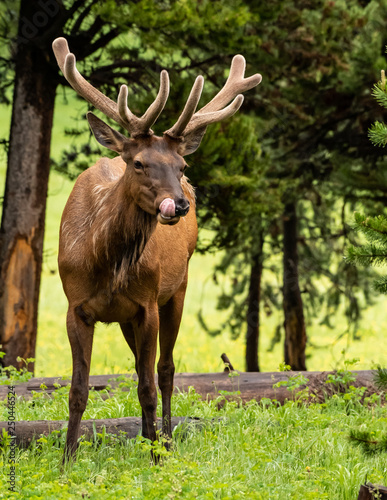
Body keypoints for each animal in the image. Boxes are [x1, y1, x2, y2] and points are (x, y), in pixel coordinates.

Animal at [52, 37, 264, 460]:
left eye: (181, 166)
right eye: (137, 163)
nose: (179, 204)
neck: (105, 264)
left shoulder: (147, 304)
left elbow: (149, 386)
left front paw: (155, 457)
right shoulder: (76, 306)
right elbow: (78, 389)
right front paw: (67, 458)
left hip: (177, 288)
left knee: (164, 371)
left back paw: (162, 437)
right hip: (126, 318)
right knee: (141, 366)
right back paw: (149, 435)